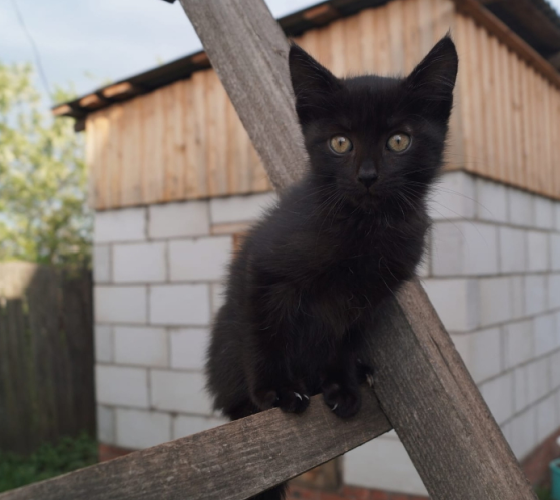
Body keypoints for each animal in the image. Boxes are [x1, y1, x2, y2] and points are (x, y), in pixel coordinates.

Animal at [205, 36, 456, 500]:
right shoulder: (263, 269)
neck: (363, 230)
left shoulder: (368, 299)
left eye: (399, 141)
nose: (368, 177)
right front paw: (278, 389)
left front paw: (340, 383)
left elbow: (342, 339)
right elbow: (266, 331)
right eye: (341, 143)